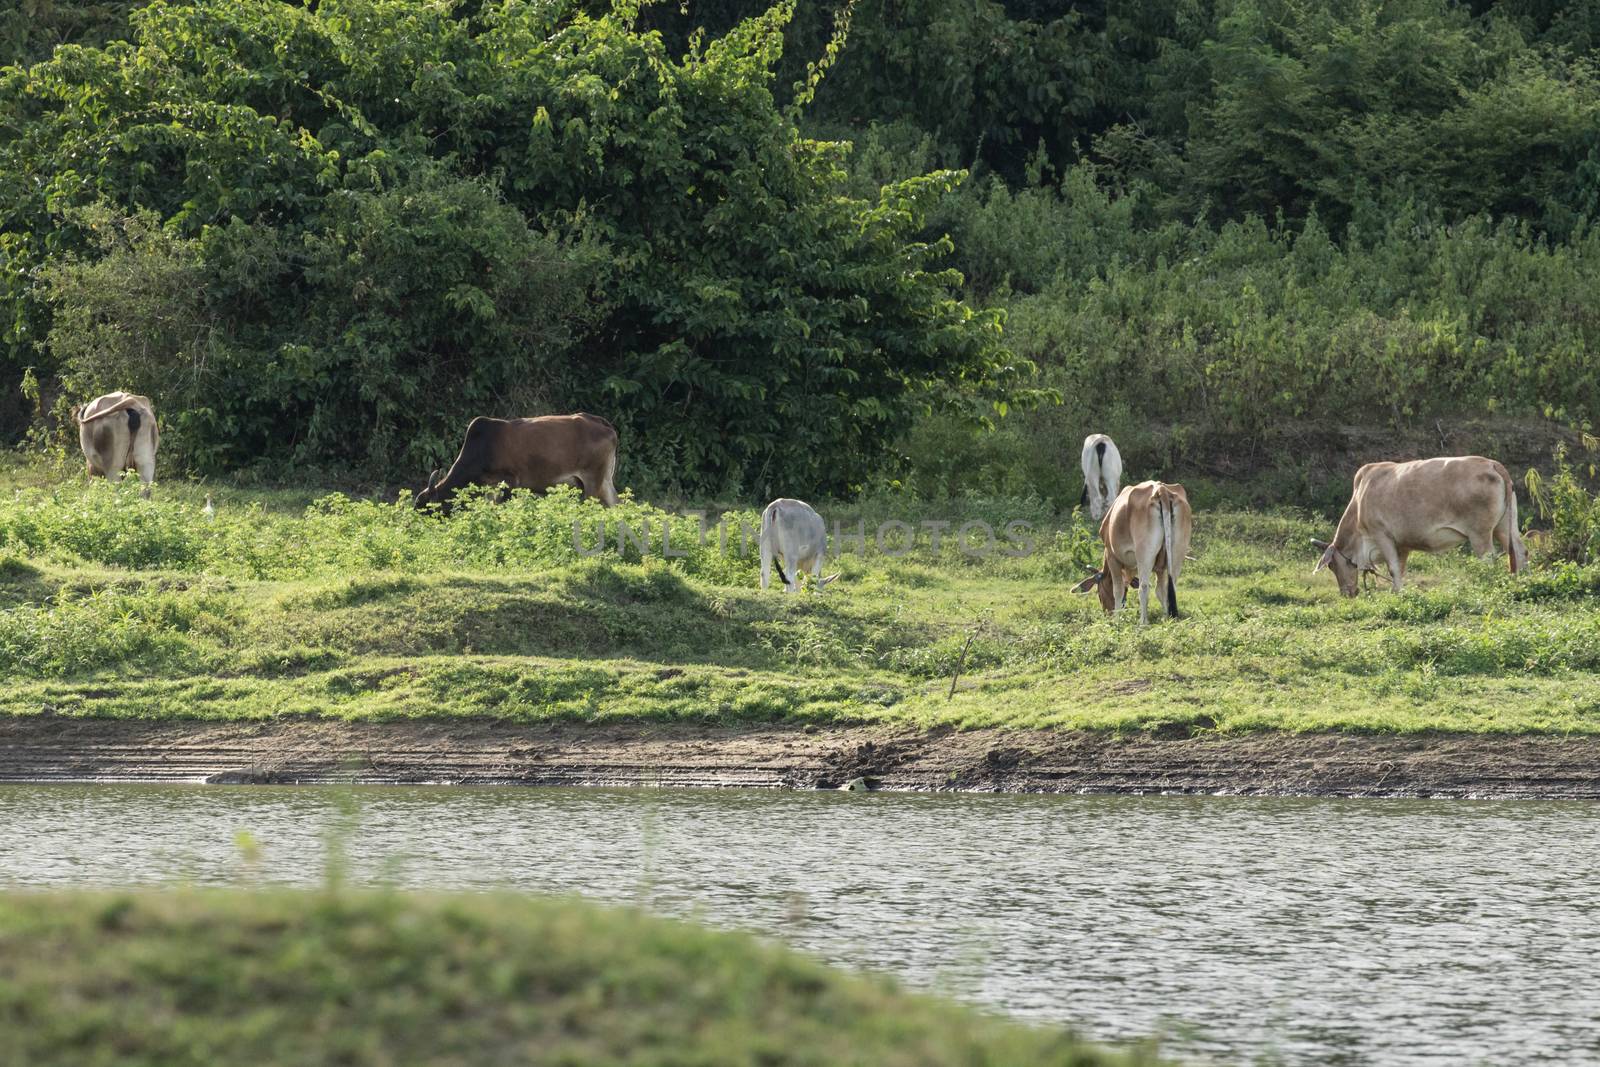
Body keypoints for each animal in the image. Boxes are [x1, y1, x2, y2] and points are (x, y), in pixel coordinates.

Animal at [1068, 476, 1196, 620]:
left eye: (1099, 593)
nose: (1107, 612)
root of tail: (1161, 490)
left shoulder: (1112, 557)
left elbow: (1118, 590)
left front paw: (1116, 620)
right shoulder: (1160, 568)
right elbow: (1161, 591)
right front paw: (1165, 618)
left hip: (1144, 555)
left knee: (1144, 587)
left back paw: (1143, 621)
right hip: (1177, 553)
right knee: (1171, 585)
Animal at [1318, 454, 1529, 598]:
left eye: (1332, 566)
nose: (1347, 593)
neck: (1359, 500)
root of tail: (1492, 464)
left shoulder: (1382, 534)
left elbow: (1393, 568)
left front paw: (1396, 592)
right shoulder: (1402, 545)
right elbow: (1399, 568)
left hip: (1480, 534)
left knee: (1487, 560)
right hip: (1505, 527)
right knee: (1520, 552)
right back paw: (1523, 581)